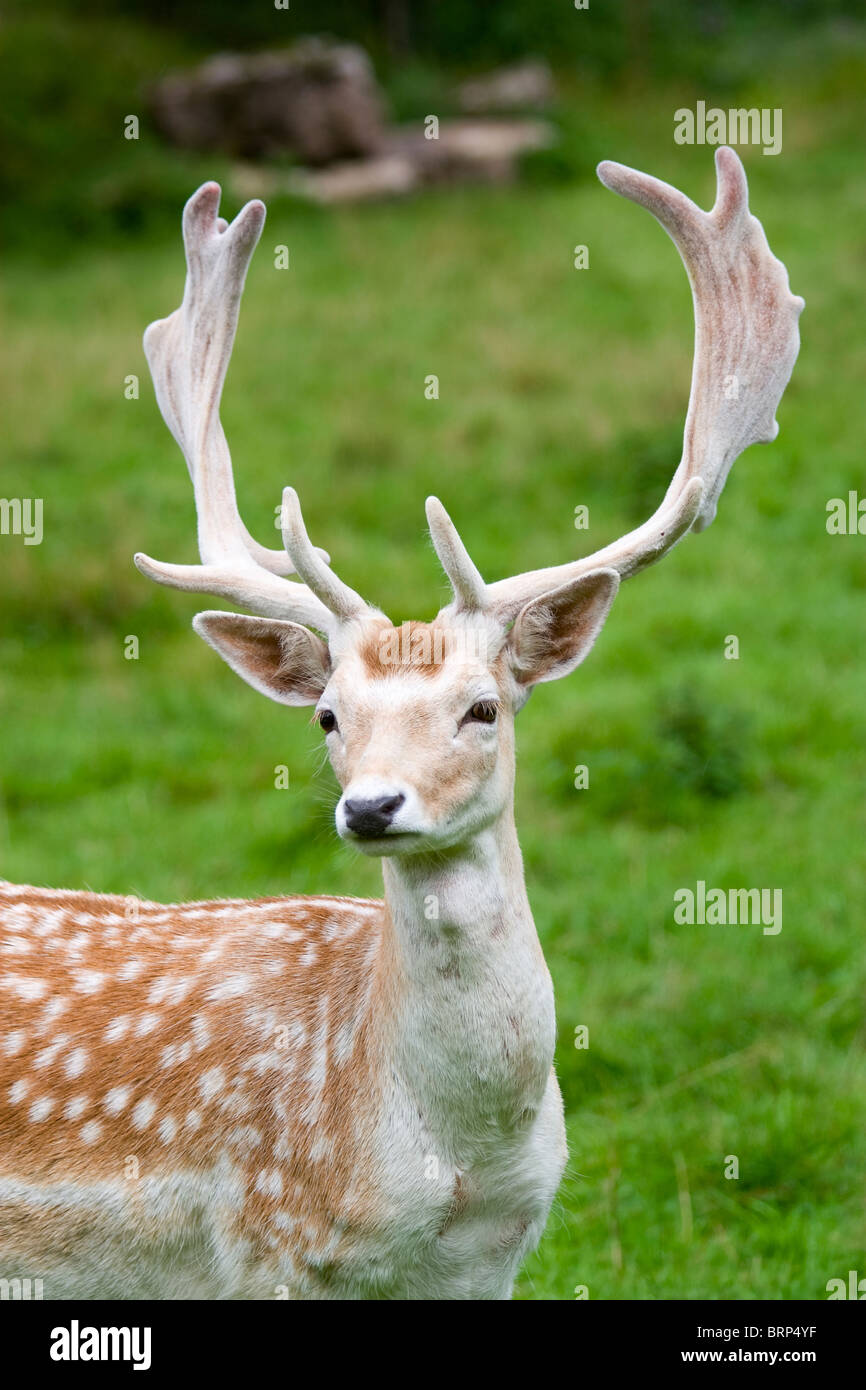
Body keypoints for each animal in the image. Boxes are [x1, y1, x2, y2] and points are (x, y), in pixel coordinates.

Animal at [0, 152, 806, 1301]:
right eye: (328, 714)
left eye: (483, 705)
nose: (372, 807)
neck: (454, 1169)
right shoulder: (267, 1246)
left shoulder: (494, 1261)